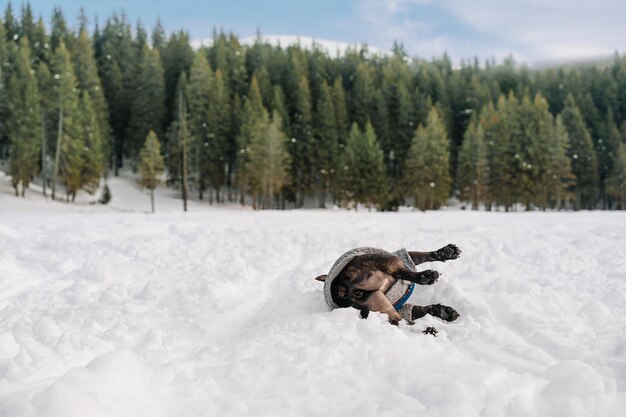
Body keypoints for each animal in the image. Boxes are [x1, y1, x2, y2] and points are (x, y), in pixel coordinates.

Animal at [316, 244, 458, 324]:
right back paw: (426, 276)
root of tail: (340, 287)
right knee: (403, 272)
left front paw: (442, 311)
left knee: (399, 321)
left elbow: (418, 310)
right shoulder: (403, 257)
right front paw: (446, 252)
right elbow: (420, 255)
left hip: (379, 303)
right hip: (386, 260)